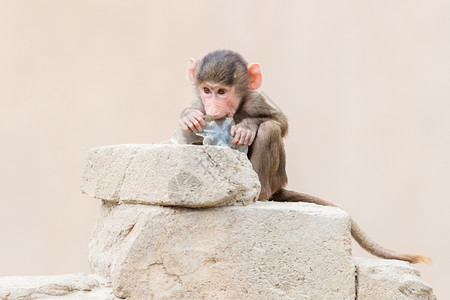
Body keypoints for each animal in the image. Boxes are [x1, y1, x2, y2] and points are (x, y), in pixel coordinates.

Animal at [178, 48, 430, 264]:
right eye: (207, 91)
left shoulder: (256, 100)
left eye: (222, 92)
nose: (213, 108)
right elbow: (190, 124)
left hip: (277, 178)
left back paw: (259, 193)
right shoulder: (200, 104)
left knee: (269, 129)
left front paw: (246, 127)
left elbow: (280, 123)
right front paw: (189, 117)